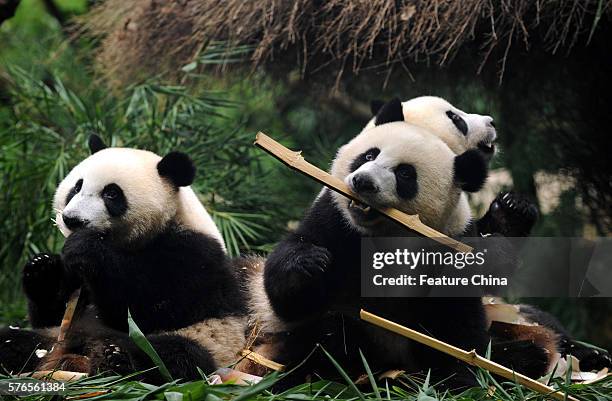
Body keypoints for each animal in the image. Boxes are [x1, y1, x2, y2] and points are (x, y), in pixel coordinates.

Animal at [0, 137, 249, 382]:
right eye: (77, 186)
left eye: (111, 193)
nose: (72, 220)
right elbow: (52, 315)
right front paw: (43, 269)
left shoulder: (193, 255)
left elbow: (149, 307)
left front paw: (85, 248)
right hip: (52, 340)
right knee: (14, 340)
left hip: (211, 339)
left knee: (173, 356)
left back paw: (117, 360)